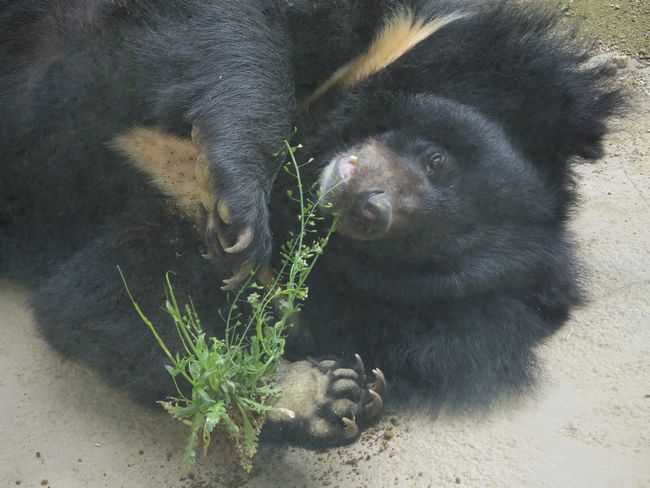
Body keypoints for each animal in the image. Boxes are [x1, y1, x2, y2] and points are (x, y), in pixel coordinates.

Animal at [0, 0, 616, 442]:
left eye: (418, 247)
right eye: (438, 160)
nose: (369, 205)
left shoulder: (157, 214)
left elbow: (115, 297)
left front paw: (325, 396)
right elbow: (236, 27)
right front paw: (237, 204)